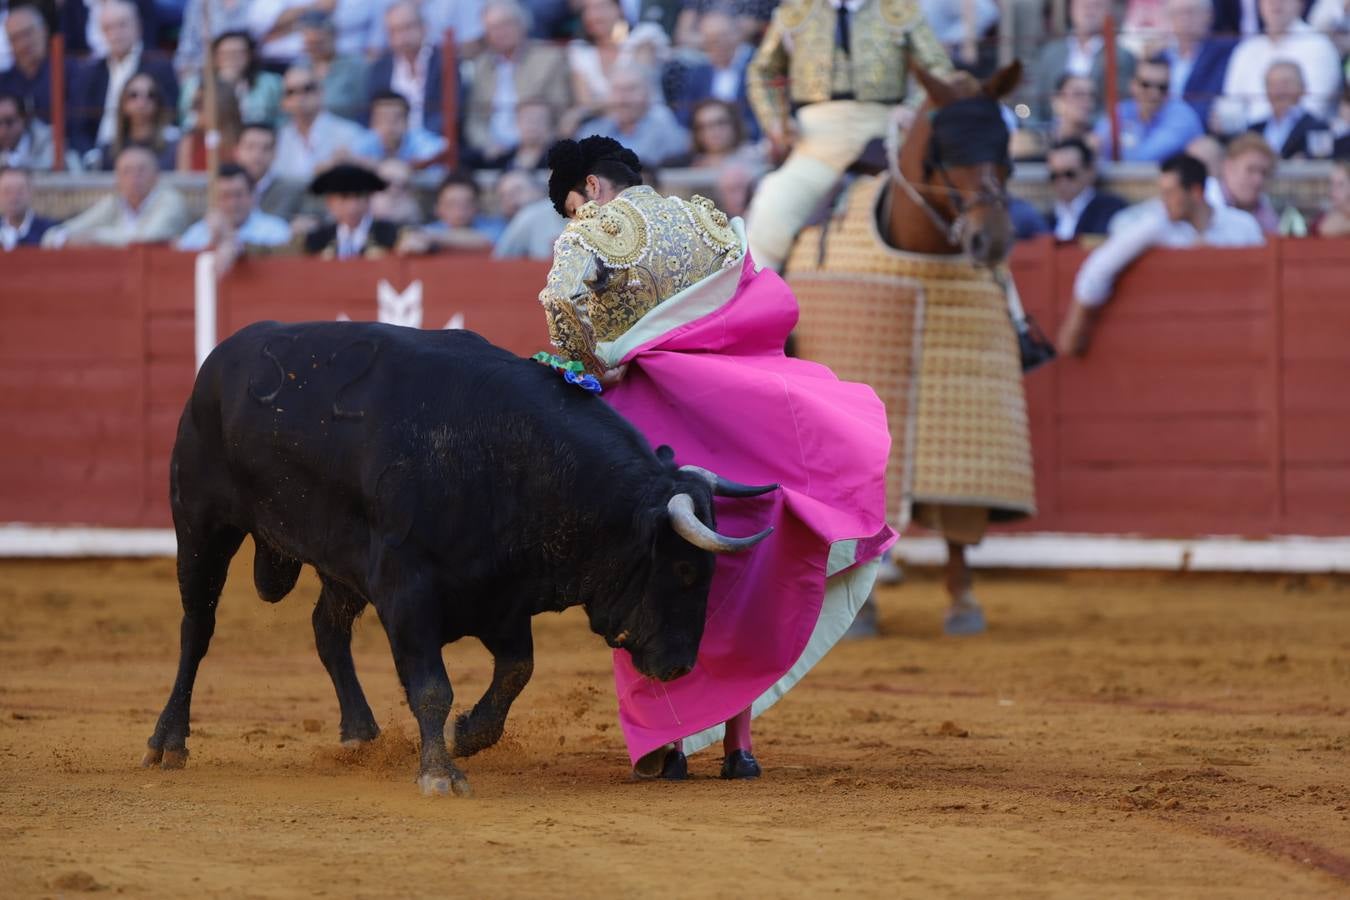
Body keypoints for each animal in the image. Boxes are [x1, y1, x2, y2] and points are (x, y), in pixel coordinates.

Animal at [143, 322, 772, 793]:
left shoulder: (502, 598)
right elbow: (432, 687)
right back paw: (167, 742)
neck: (508, 457)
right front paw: (441, 774)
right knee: (197, 628)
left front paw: (467, 735)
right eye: (685, 570)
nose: (680, 667)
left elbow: (517, 669)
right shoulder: (406, 590)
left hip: (338, 564)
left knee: (327, 628)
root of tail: (221, 356)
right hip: (201, 522)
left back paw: (360, 732)